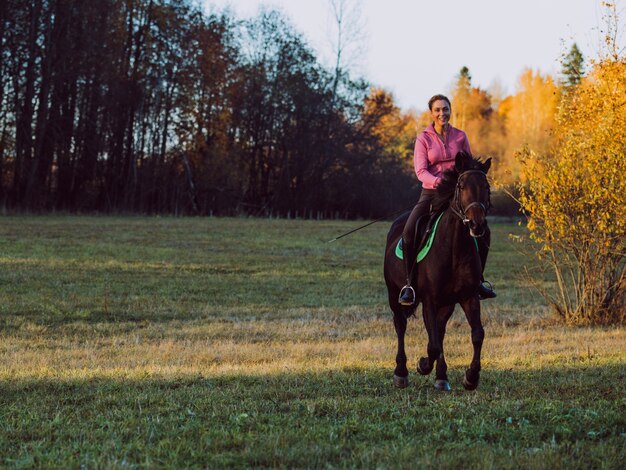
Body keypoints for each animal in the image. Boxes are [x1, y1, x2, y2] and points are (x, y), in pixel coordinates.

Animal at [382, 151, 490, 390]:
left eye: (487, 187)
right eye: (461, 186)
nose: (477, 225)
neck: (454, 249)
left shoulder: (468, 297)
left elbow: (477, 334)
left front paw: (471, 377)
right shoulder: (429, 299)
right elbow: (432, 345)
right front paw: (422, 365)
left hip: (447, 302)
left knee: (439, 332)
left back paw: (441, 377)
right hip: (394, 293)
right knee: (401, 325)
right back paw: (401, 373)